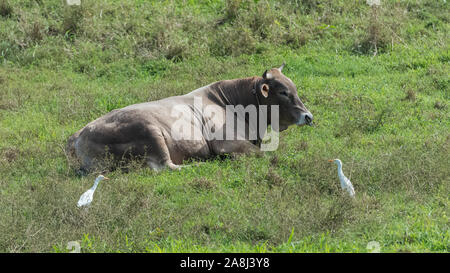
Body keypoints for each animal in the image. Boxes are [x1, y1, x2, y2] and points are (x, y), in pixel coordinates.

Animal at [66, 63, 312, 172]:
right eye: (283, 92)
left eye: (294, 88)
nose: (308, 116)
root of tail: (79, 135)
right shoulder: (227, 143)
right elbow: (261, 154)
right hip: (151, 133)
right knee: (168, 167)